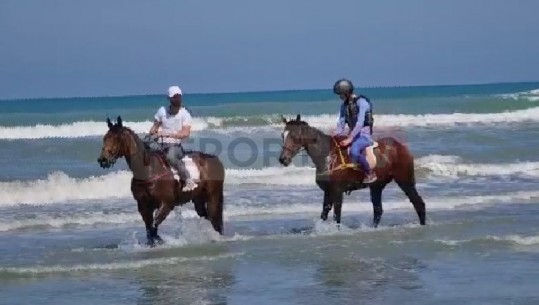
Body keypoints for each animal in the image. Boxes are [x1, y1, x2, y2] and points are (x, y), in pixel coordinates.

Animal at [97, 115, 226, 246]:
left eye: (117, 138)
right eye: (105, 138)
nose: (103, 160)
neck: (149, 171)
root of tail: (215, 159)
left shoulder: (166, 204)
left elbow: (153, 226)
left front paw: (159, 240)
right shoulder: (143, 206)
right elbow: (149, 228)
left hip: (213, 196)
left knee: (214, 218)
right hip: (198, 199)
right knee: (207, 217)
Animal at [278, 114, 426, 228]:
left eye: (294, 135)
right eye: (283, 135)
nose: (283, 159)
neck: (328, 156)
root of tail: (400, 146)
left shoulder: (337, 191)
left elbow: (337, 215)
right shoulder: (328, 192)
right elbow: (324, 214)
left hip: (405, 181)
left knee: (418, 203)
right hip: (377, 186)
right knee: (378, 210)